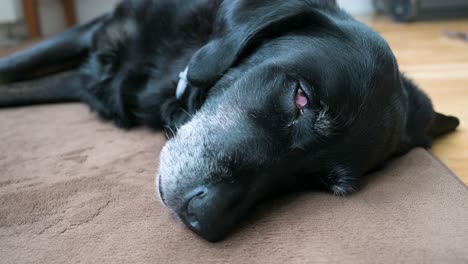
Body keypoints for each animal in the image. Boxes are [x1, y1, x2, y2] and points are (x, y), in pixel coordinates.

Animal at [0, 0, 460, 242]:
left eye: (317, 182)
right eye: (301, 97)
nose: (205, 221)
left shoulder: (86, 81)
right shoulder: (95, 34)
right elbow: (11, 68)